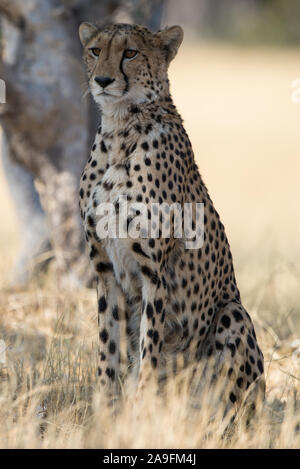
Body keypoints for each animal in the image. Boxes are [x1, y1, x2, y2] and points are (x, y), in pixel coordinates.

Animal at [78, 21, 264, 416]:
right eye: (95, 50)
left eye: (130, 52)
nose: (102, 80)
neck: (121, 129)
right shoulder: (105, 270)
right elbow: (108, 348)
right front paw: (104, 413)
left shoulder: (155, 272)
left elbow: (149, 350)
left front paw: (137, 412)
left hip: (233, 313)